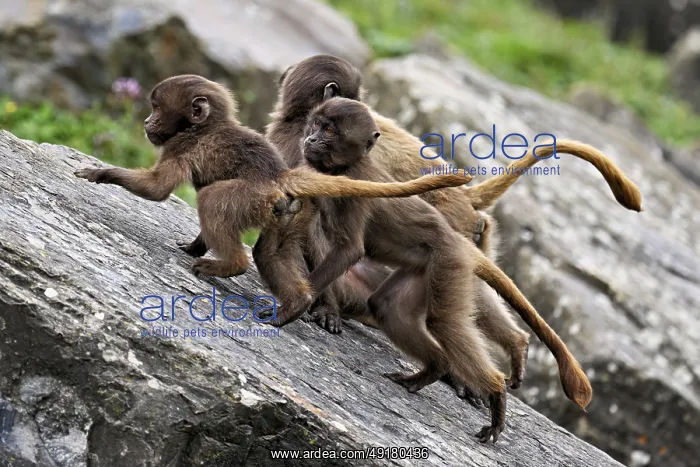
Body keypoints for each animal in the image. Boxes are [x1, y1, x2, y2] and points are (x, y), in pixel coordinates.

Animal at [74, 74, 469, 319]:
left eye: (157, 108)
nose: (146, 122)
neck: (205, 126)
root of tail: (279, 177)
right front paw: (194, 245)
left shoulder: (182, 147)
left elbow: (157, 189)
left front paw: (101, 173)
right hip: (288, 215)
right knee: (268, 253)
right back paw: (296, 305)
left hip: (250, 197)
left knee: (214, 202)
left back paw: (229, 266)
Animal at [263, 54, 642, 398]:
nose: (367, 109)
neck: (296, 117)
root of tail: (466, 197)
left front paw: (318, 306)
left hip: (456, 230)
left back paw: (494, 358)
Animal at [279, 97, 593, 443]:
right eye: (315, 124)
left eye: (329, 130)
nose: (309, 139)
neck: (348, 166)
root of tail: (460, 243)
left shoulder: (353, 192)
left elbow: (349, 251)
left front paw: (294, 306)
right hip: (424, 269)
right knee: (388, 306)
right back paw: (435, 370)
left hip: (448, 263)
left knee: (444, 322)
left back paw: (495, 394)